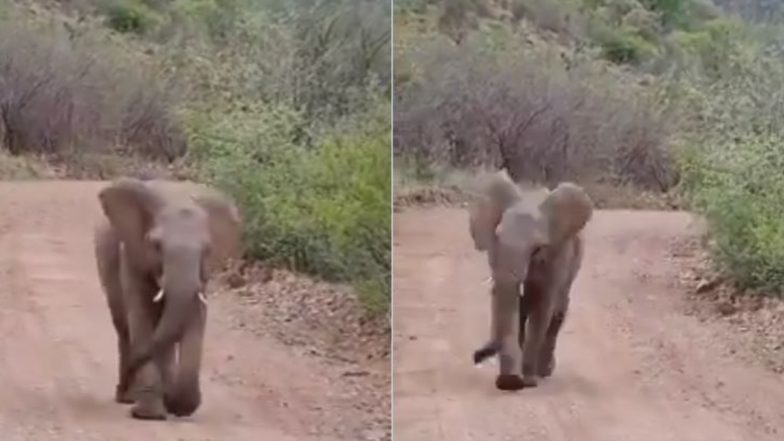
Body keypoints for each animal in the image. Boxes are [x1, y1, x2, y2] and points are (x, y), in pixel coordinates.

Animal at [93, 177, 242, 420]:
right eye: (156, 245)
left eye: (208, 250)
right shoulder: (133, 255)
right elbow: (142, 316)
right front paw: (149, 414)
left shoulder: (201, 276)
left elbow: (195, 319)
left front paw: (180, 407)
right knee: (124, 329)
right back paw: (128, 398)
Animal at [467, 170, 593, 391]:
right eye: (497, 236)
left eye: (537, 248)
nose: (476, 356)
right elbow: (509, 300)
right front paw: (509, 381)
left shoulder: (557, 254)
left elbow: (542, 305)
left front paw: (527, 381)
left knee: (558, 309)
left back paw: (544, 372)